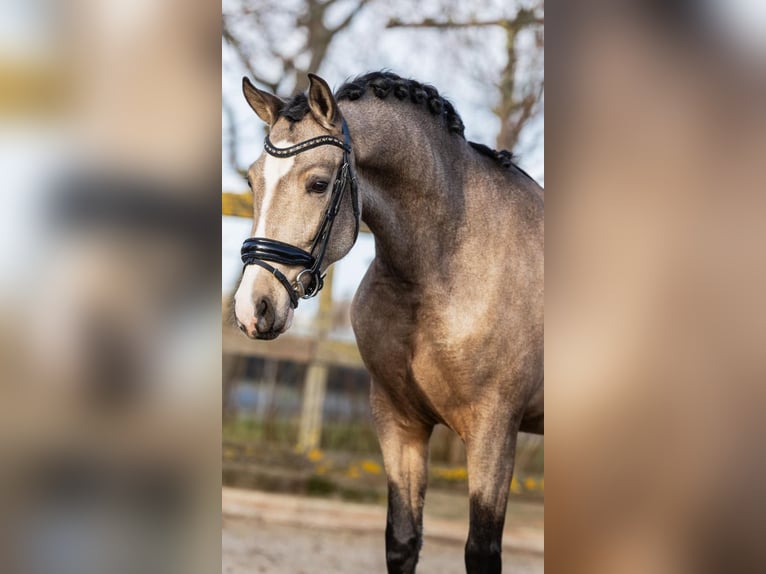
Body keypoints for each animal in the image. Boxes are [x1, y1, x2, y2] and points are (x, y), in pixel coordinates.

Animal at [234, 70, 544, 572]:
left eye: (318, 184)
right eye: (252, 180)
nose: (252, 307)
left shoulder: (494, 428)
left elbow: (481, 551)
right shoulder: (399, 420)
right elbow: (402, 539)